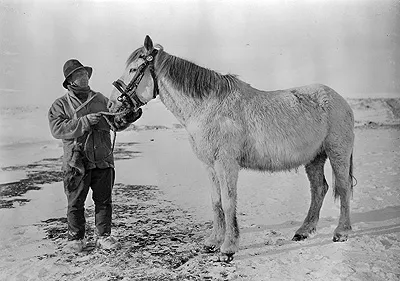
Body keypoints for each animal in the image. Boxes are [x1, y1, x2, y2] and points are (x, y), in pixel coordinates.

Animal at [108, 36, 354, 262]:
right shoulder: (210, 166)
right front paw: (213, 242)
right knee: (319, 189)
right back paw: (304, 231)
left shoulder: (226, 164)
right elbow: (216, 202)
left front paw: (228, 248)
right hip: (314, 158)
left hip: (337, 153)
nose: (112, 110)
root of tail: (340, 100)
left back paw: (341, 232)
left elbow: (228, 203)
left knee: (343, 188)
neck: (208, 108)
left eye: (133, 69)